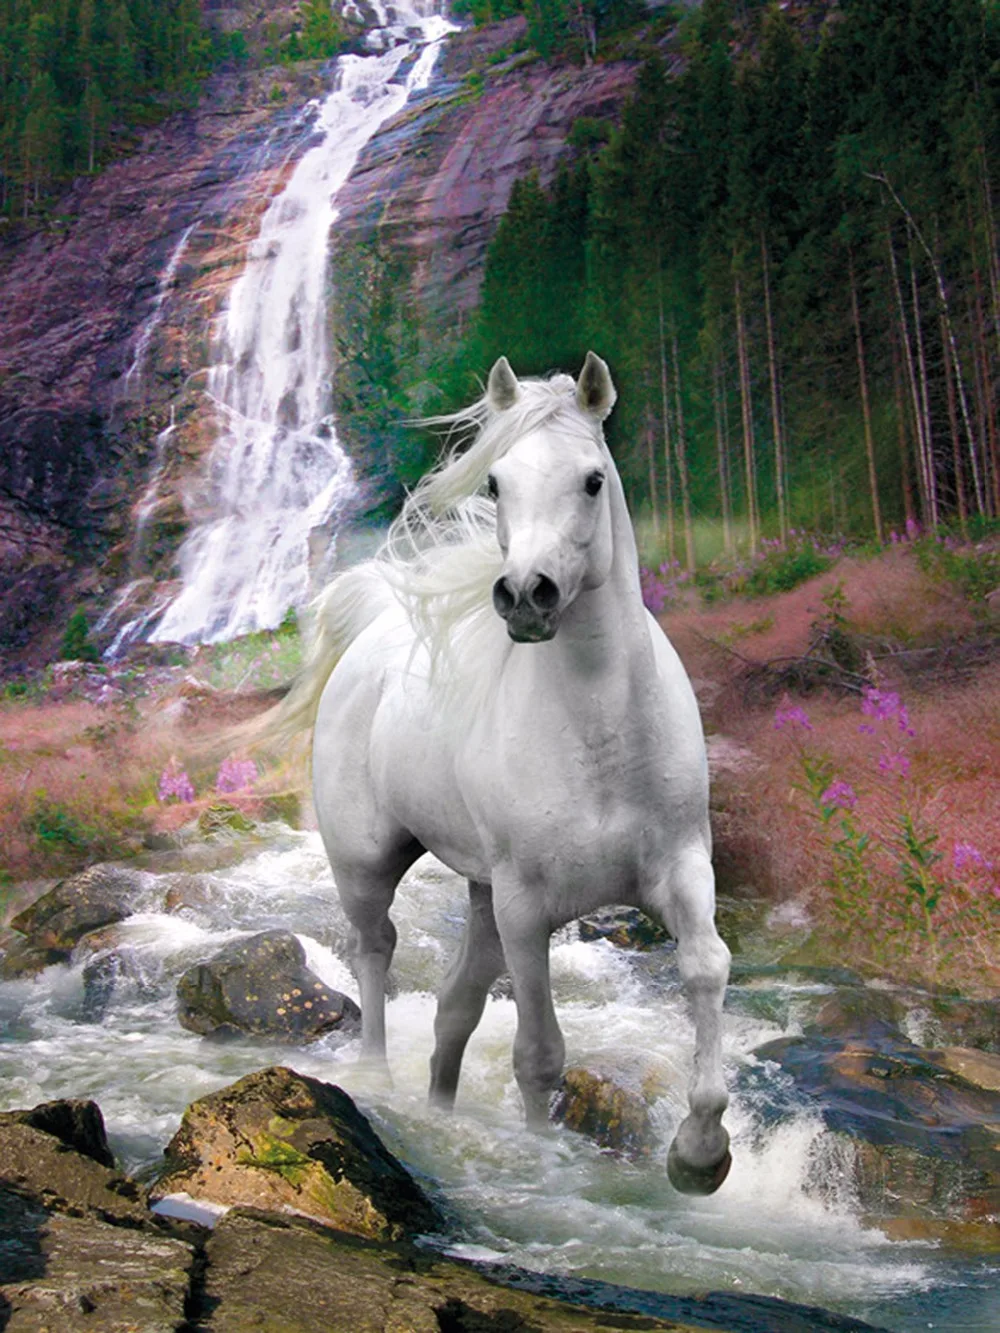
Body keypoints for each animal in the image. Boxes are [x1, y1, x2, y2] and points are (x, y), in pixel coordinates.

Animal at [273, 352, 732, 1195]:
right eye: (495, 482)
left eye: (591, 479)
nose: (525, 595)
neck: (600, 739)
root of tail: (372, 628)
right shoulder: (527, 908)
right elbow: (539, 1054)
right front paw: (543, 1159)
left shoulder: (684, 869)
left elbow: (706, 968)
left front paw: (699, 1152)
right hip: (368, 864)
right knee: (376, 950)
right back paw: (378, 1080)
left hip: (481, 890)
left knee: (455, 1004)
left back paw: (440, 1106)